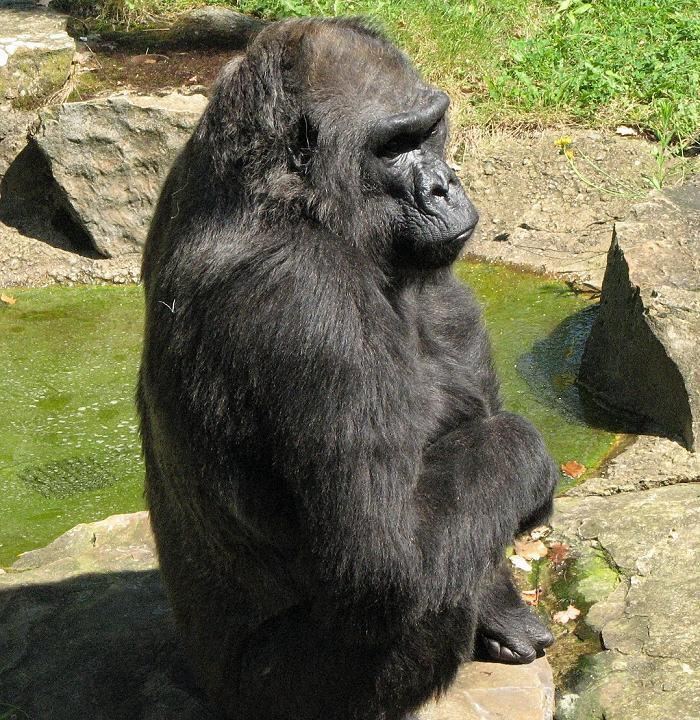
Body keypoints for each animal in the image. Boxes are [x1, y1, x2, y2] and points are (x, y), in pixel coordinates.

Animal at [139, 15, 556, 720]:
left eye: (428, 130)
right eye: (391, 148)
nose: (445, 185)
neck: (286, 197)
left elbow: (440, 311)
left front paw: (501, 603)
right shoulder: (310, 299)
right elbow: (387, 562)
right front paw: (527, 454)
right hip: (266, 697)